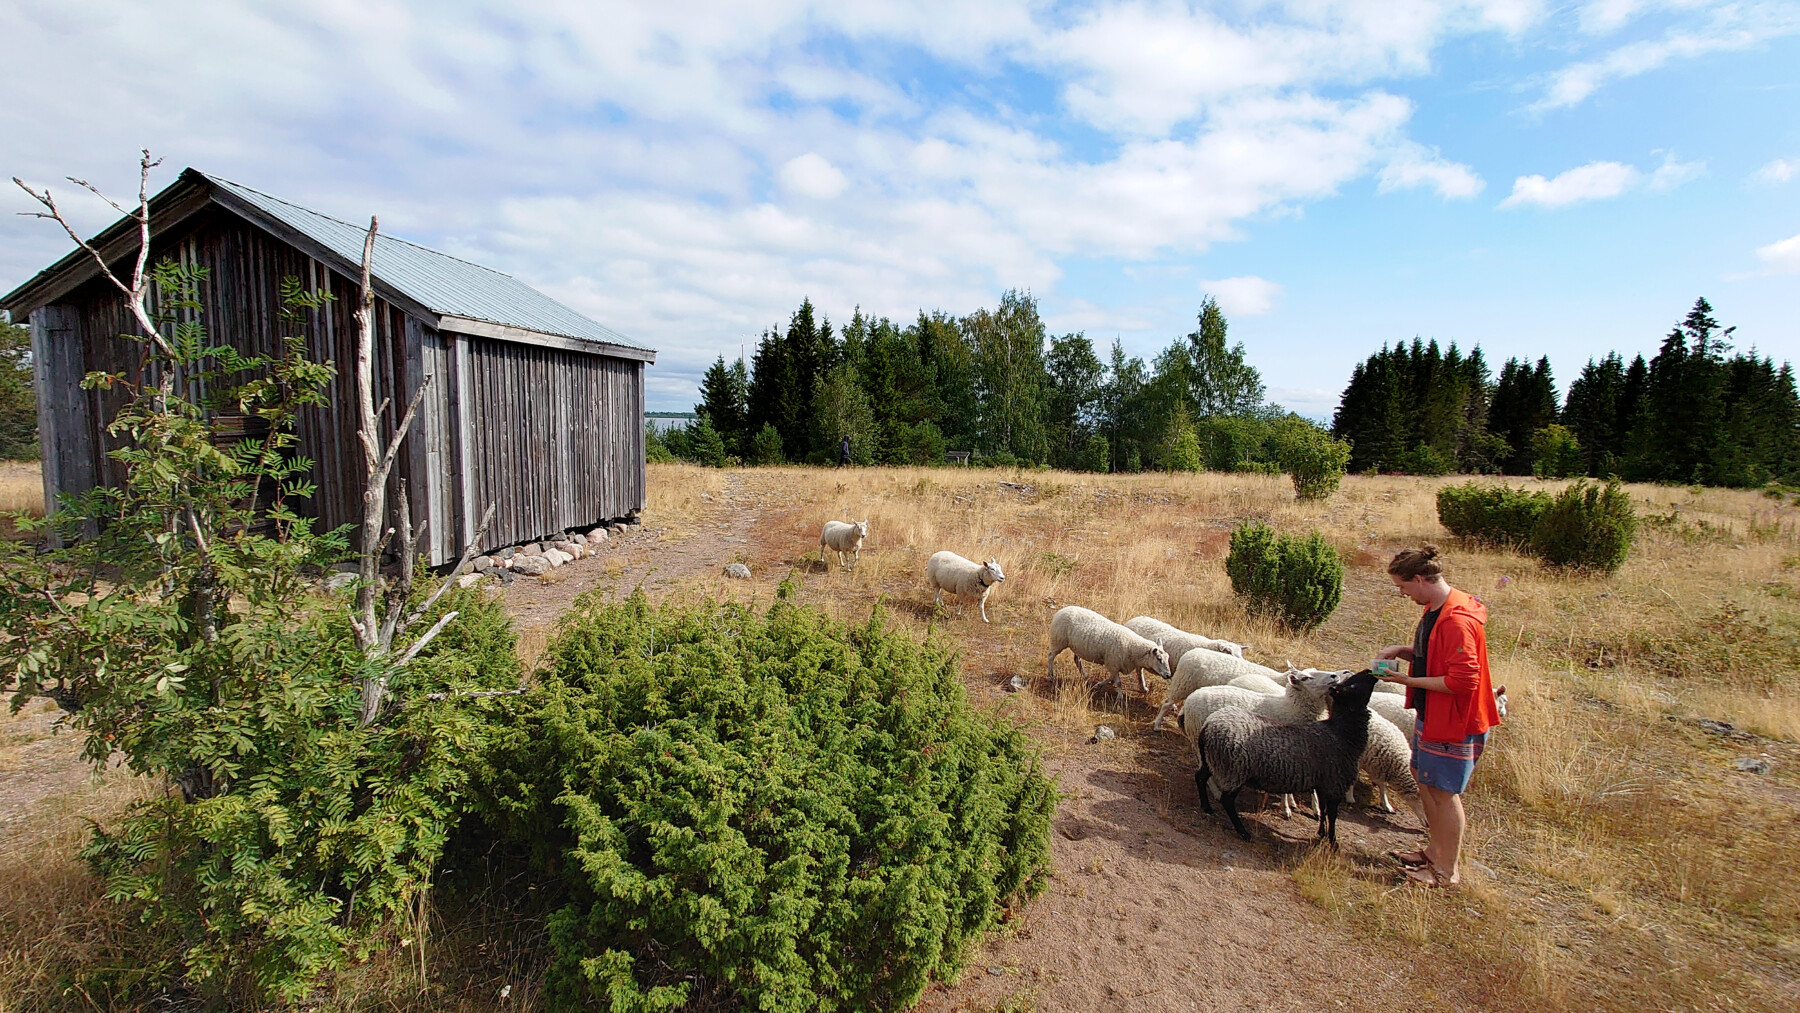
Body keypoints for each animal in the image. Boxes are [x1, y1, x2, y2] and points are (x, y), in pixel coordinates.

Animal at [1195, 669, 1375, 845]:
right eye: (1351, 686)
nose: (1369, 671)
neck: (1340, 732)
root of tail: (1208, 724)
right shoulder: (1332, 783)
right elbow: (1332, 815)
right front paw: (1332, 841)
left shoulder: (1318, 779)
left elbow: (1322, 808)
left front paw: (1319, 826)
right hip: (1234, 770)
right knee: (1226, 799)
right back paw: (1242, 830)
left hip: (1215, 761)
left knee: (1200, 776)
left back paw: (1207, 807)